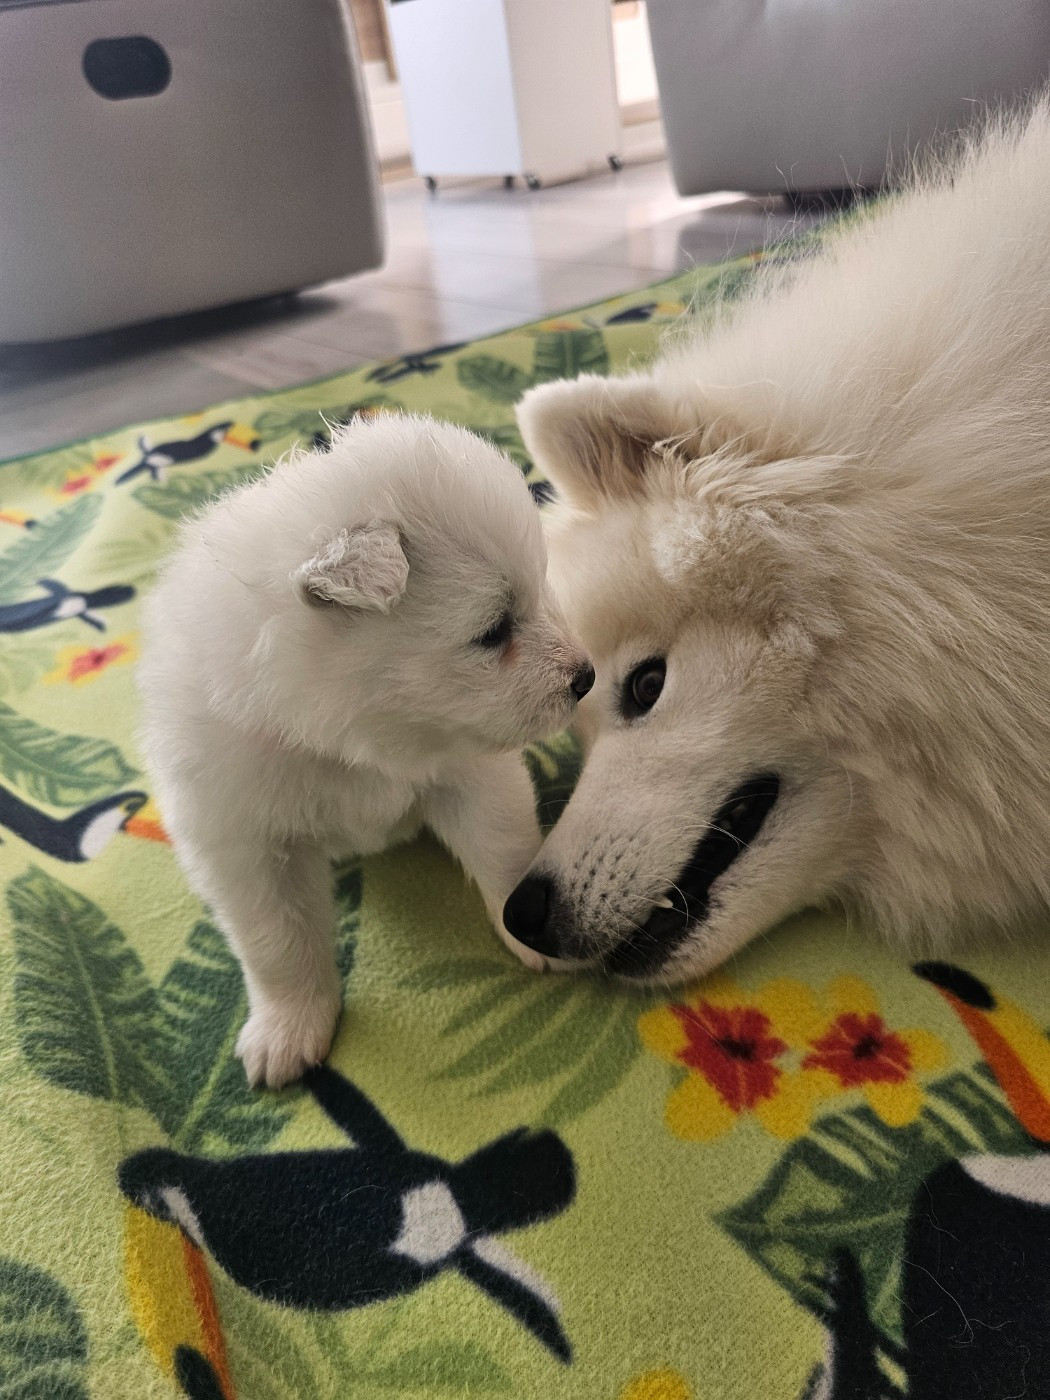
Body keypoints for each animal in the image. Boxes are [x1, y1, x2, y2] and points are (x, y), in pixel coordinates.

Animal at [139, 415, 592, 1087]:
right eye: (492, 631)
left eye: (542, 592)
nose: (587, 677)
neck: (354, 741)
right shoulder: (242, 840)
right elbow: (277, 942)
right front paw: (288, 1030)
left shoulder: (470, 772)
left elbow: (504, 847)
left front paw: (533, 927)